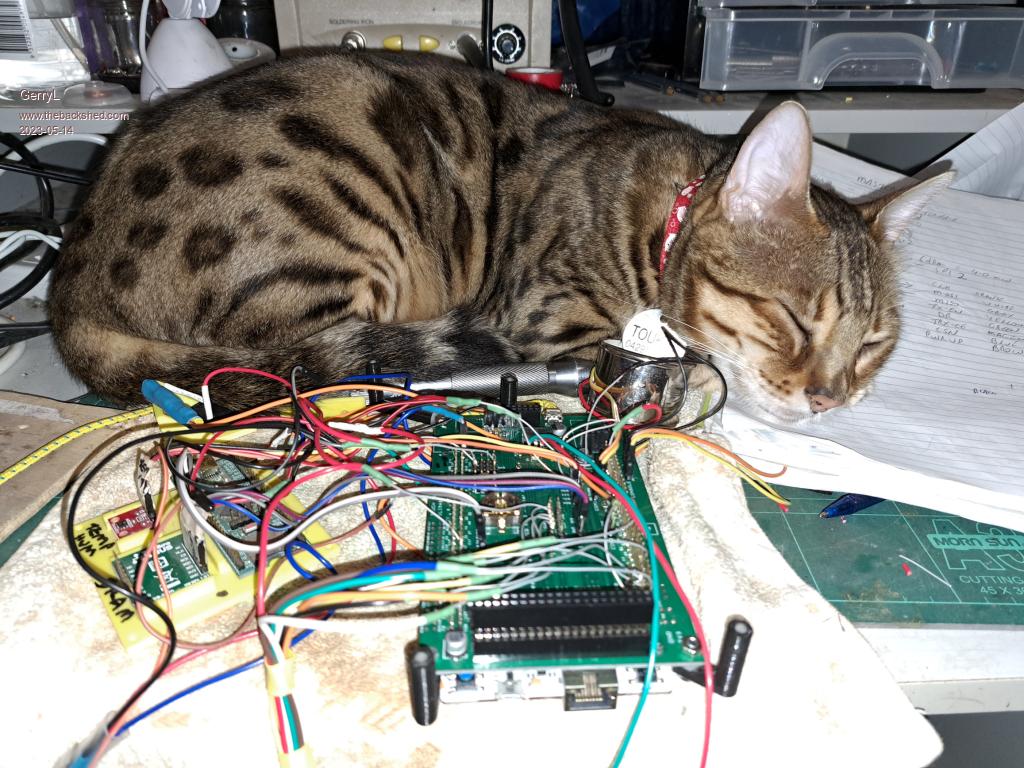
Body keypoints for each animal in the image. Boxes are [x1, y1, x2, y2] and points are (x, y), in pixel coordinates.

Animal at [48, 51, 949, 421]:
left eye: (874, 345)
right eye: (795, 320)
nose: (831, 397)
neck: (659, 220)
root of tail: (71, 281)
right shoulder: (550, 320)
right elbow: (680, 375)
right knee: (316, 374)